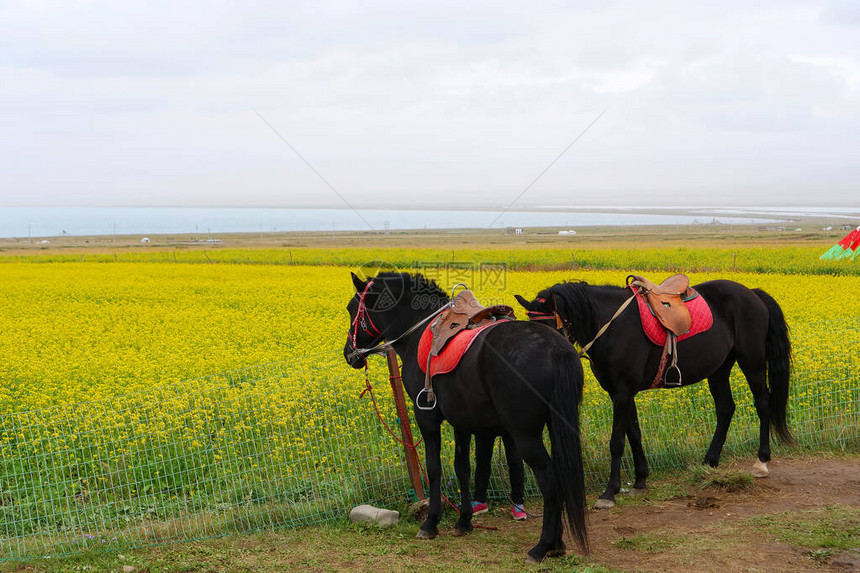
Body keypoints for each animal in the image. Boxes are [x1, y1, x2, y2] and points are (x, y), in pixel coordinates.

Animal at [346, 272, 588, 560]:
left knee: (550, 479)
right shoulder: (461, 421)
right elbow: (462, 468)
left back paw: (542, 545)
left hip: (525, 434)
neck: (420, 330)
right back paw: (557, 544)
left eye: (352, 309)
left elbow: (434, 468)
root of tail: (556, 348)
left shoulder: (426, 417)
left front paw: (431, 523)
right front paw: (464, 521)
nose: (349, 353)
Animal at [516, 280, 792, 508]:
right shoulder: (620, 392)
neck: (611, 325)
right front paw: (640, 480)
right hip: (720, 368)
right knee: (726, 409)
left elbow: (617, 442)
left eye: (548, 327)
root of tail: (752, 294)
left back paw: (761, 461)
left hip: (752, 362)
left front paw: (609, 492)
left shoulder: (623, 392)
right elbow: (634, 433)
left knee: (762, 404)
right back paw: (709, 460)